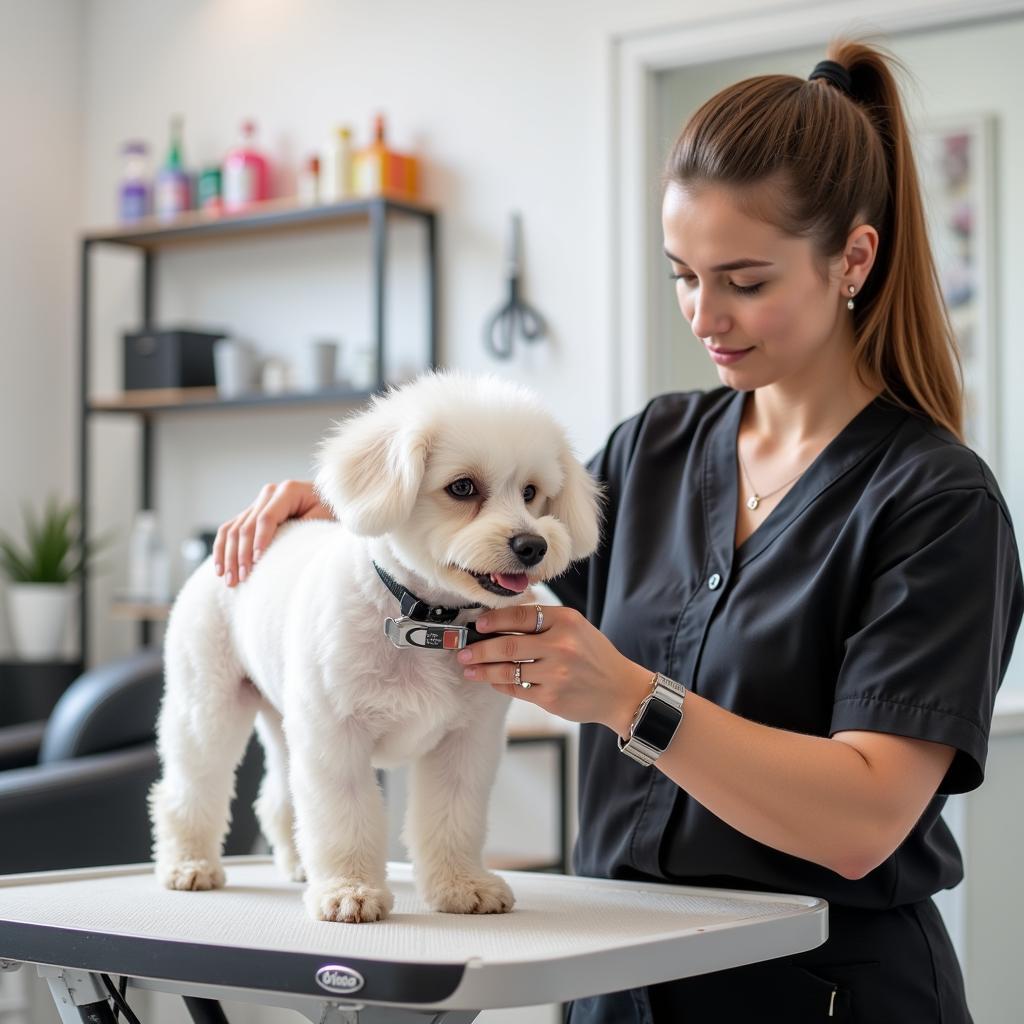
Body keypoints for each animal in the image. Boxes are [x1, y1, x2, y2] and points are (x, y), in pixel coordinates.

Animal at [148, 366, 602, 921]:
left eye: (532, 492)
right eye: (463, 486)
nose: (532, 545)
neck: (426, 623)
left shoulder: (466, 742)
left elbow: (453, 817)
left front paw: (462, 884)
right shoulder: (335, 737)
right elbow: (343, 816)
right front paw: (348, 890)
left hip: (283, 718)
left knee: (278, 799)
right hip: (209, 706)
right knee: (190, 785)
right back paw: (188, 864)